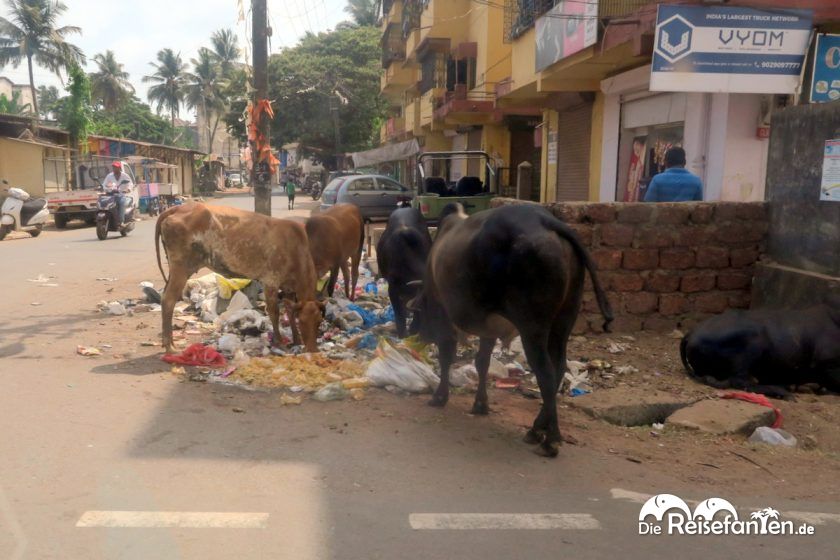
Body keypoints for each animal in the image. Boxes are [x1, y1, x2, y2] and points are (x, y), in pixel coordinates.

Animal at [153, 201, 324, 350]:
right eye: (303, 322)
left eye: (319, 322)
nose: (312, 349)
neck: (295, 249)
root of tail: (178, 208)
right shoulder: (270, 281)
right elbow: (274, 313)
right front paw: (279, 342)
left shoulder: (288, 288)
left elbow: (289, 311)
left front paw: (296, 340)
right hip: (181, 268)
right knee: (168, 300)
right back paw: (169, 347)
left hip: (175, 269)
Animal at [412, 203, 612, 458]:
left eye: (418, 313)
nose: (417, 335)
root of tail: (546, 220)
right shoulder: (488, 327)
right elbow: (482, 363)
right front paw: (480, 404)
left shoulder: (442, 314)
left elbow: (447, 357)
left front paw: (439, 396)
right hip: (564, 321)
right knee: (558, 369)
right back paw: (537, 429)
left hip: (532, 327)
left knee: (546, 374)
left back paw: (549, 440)